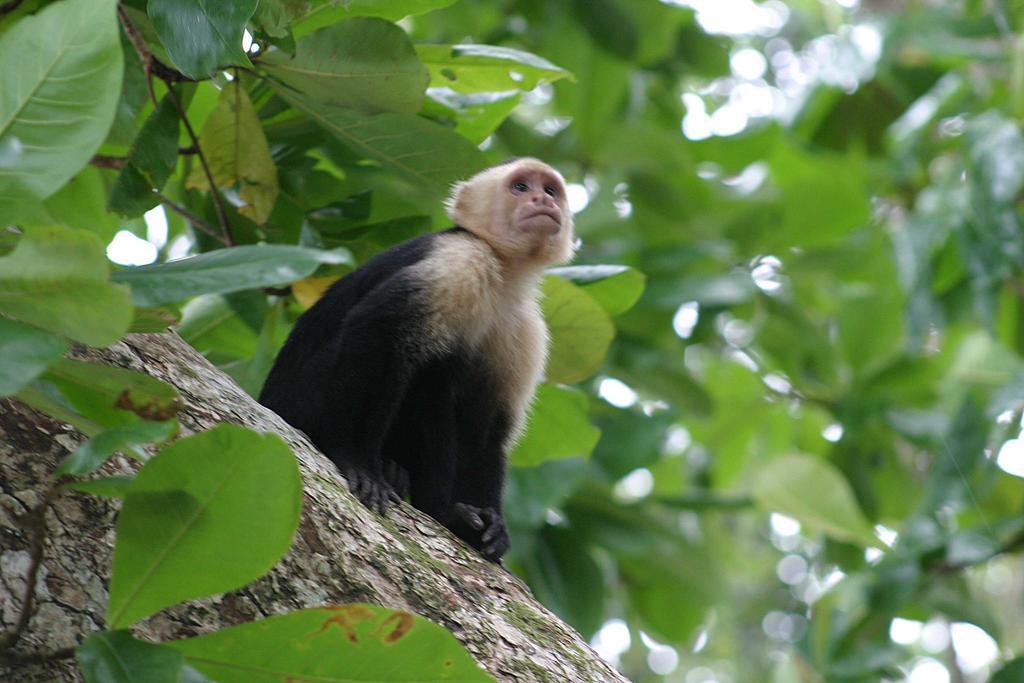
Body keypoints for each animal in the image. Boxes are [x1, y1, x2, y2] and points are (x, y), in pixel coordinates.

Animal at [258, 158, 577, 561]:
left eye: (550, 191)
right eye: (520, 187)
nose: (541, 200)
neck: (504, 272)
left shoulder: (527, 326)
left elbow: (485, 427)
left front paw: (486, 524)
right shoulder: (459, 259)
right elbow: (378, 329)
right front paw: (354, 460)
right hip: (305, 403)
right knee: (430, 375)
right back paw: (435, 506)